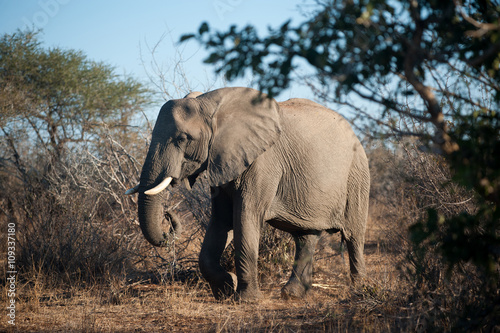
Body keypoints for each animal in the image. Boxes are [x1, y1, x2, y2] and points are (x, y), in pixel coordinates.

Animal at [127, 87, 372, 300]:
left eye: (182, 139)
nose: (168, 215)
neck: (211, 103)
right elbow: (221, 220)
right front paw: (226, 289)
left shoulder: (263, 162)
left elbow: (245, 217)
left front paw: (246, 299)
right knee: (306, 237)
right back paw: (292, 295)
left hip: (357, 174)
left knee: (353, 236)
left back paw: (359, 291)